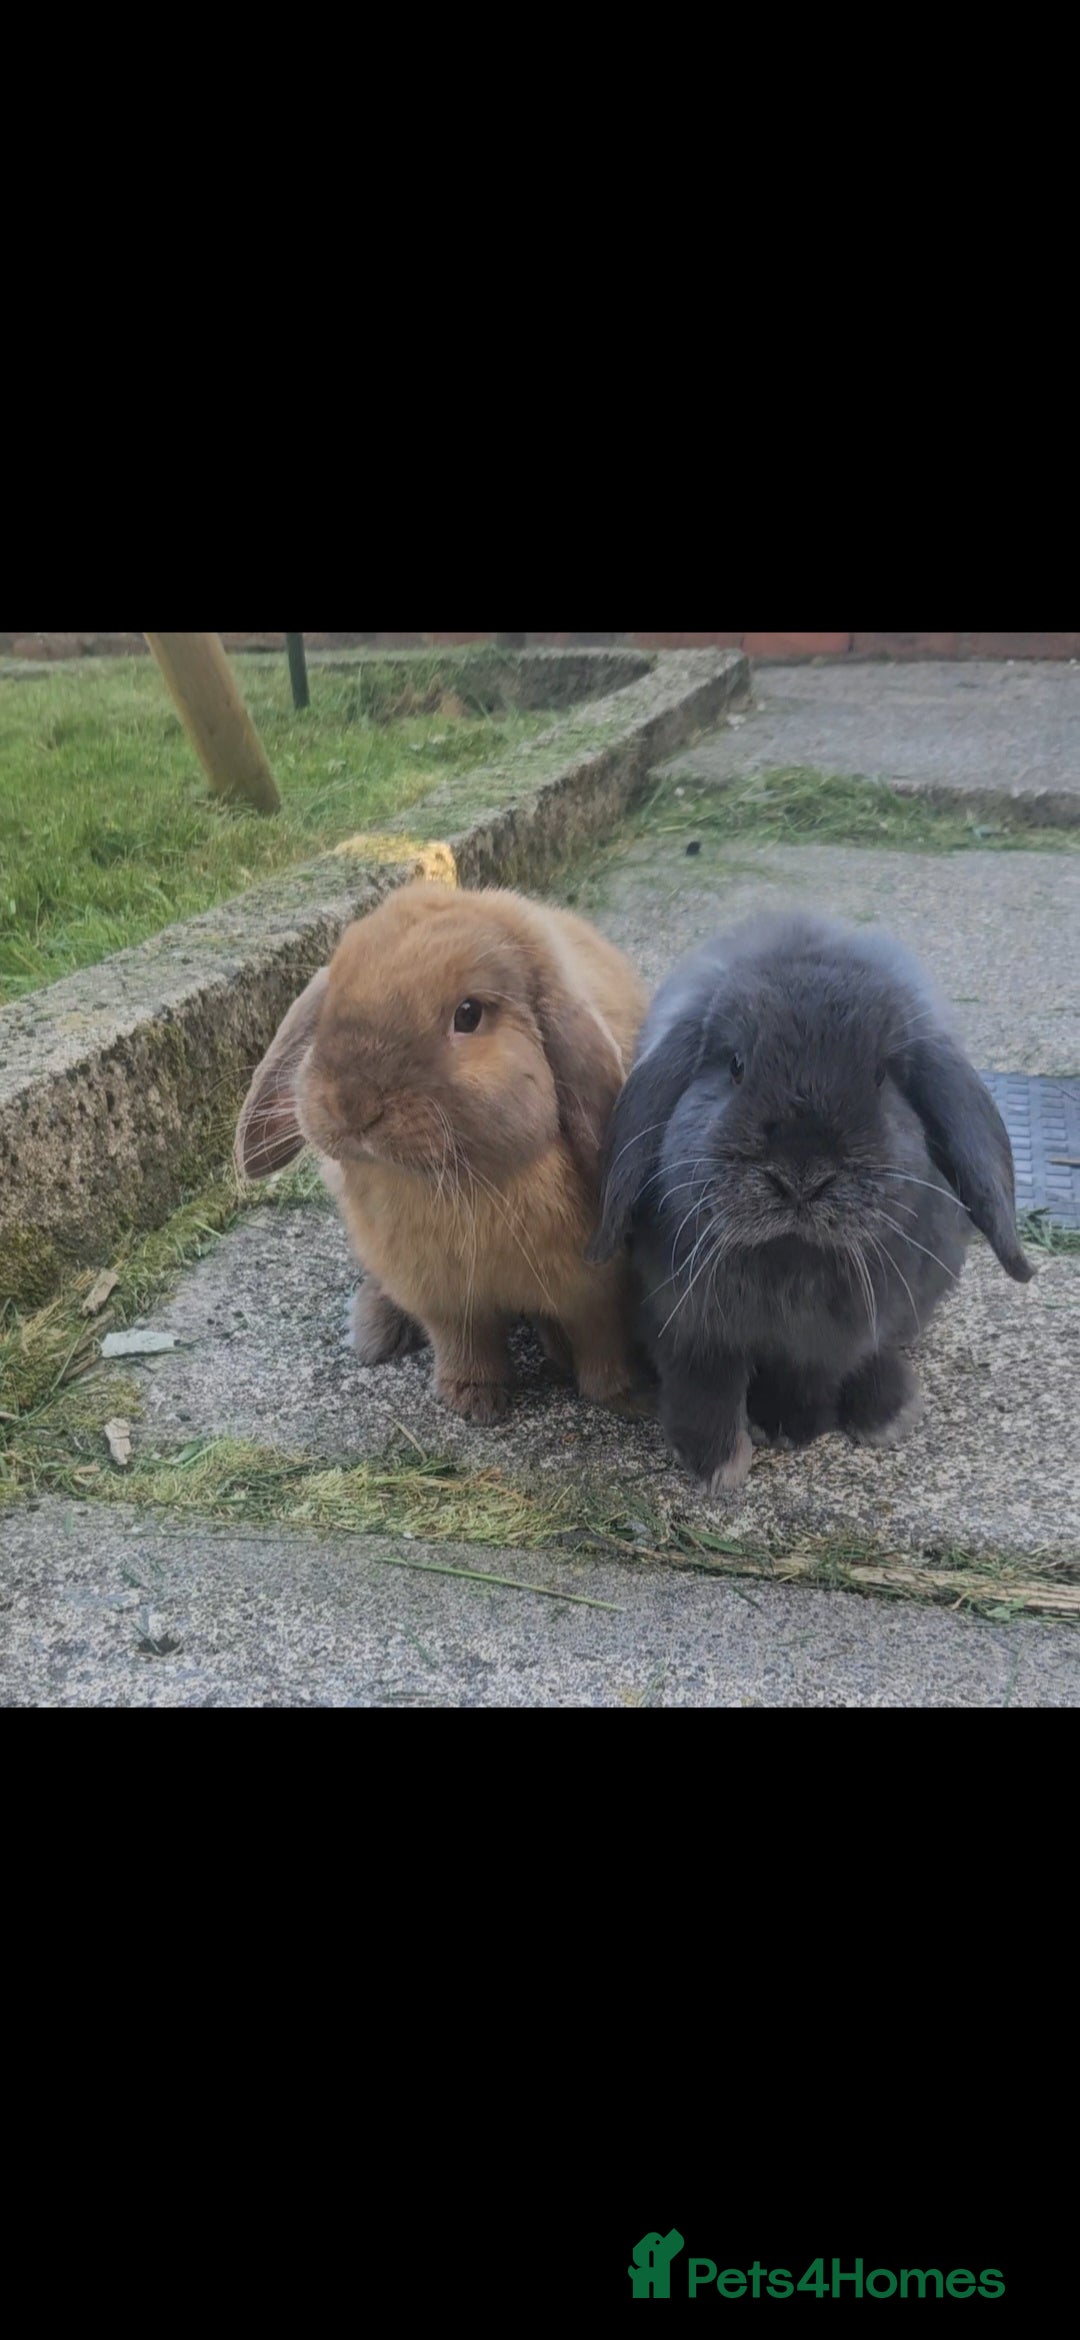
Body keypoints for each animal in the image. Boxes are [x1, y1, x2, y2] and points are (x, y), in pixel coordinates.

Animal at [234, 879, 651, 1423]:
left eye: (468, 1014)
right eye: (331, 1001)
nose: (351, 1103)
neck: (461, 1182)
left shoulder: (595, 1292)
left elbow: (602, 1343)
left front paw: (626, 1395)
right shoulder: (442, 1298)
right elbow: (463, 1342)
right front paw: (471, 1400)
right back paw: (374, 1329)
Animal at [588, 910, 1033, 1494]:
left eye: (880, 1076)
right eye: (736, 1065)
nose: (800, 1175)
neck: (793, 1257)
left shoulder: (837, 1337)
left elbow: (821, 1370)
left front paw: (793, 1425)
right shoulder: (686, 1320)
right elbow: (705, 1383)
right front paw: (715, 1462)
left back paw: (889, 1411)